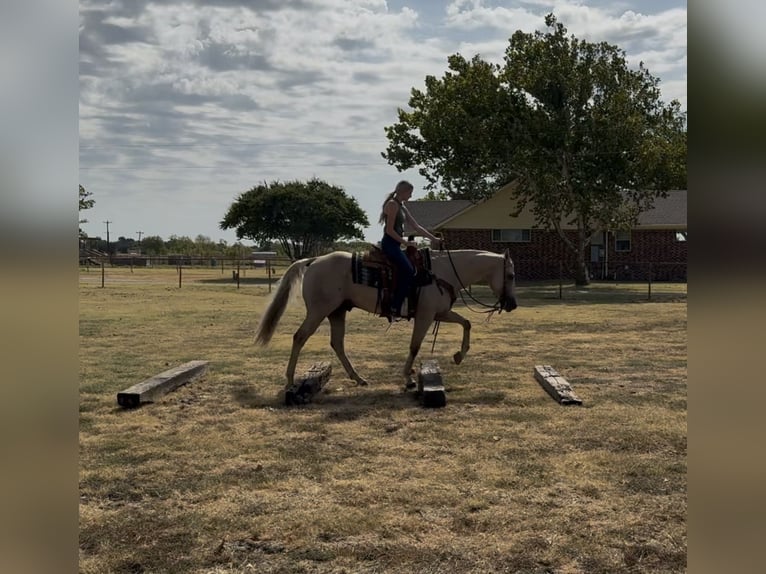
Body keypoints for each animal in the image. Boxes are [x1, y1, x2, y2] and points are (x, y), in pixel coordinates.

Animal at [254, 248, 518, 389]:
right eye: (511, 275)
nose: (512, 305)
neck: (442, 272)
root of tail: (313, 261)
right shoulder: (425, 316)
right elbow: (414, 346)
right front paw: (408, 377)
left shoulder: (440, 313)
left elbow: (466, 323)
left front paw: (459, 356)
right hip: (319, 311)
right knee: (299, 337)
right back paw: (290, 380)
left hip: (337, 312)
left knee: (337, 343)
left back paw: (358, 378)